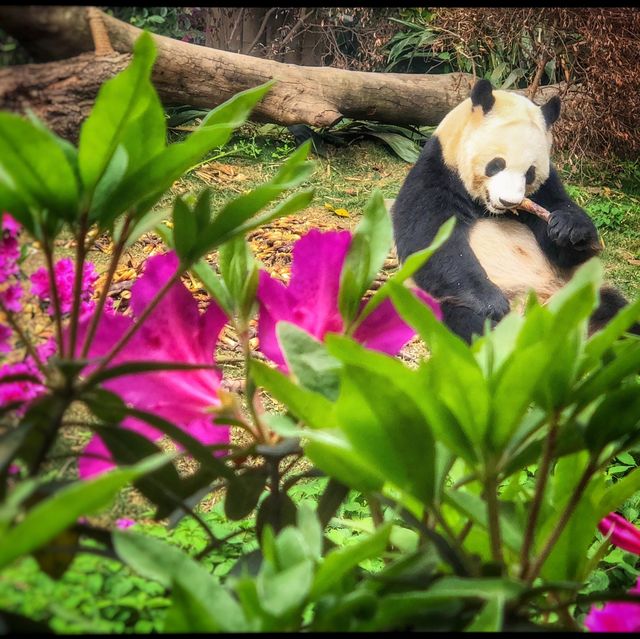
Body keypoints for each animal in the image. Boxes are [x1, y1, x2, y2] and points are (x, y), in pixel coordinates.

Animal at [390, 80, 636, 344]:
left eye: (530, 173)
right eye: (496, 164)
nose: (508, 201)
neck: (486, 207)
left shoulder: (545, 188)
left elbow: (564, 248)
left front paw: (568, 228)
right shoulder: (436, 175)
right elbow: (429, 242)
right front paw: (491, 302)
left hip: (577, 290)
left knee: (614, 311)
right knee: (465, 319)